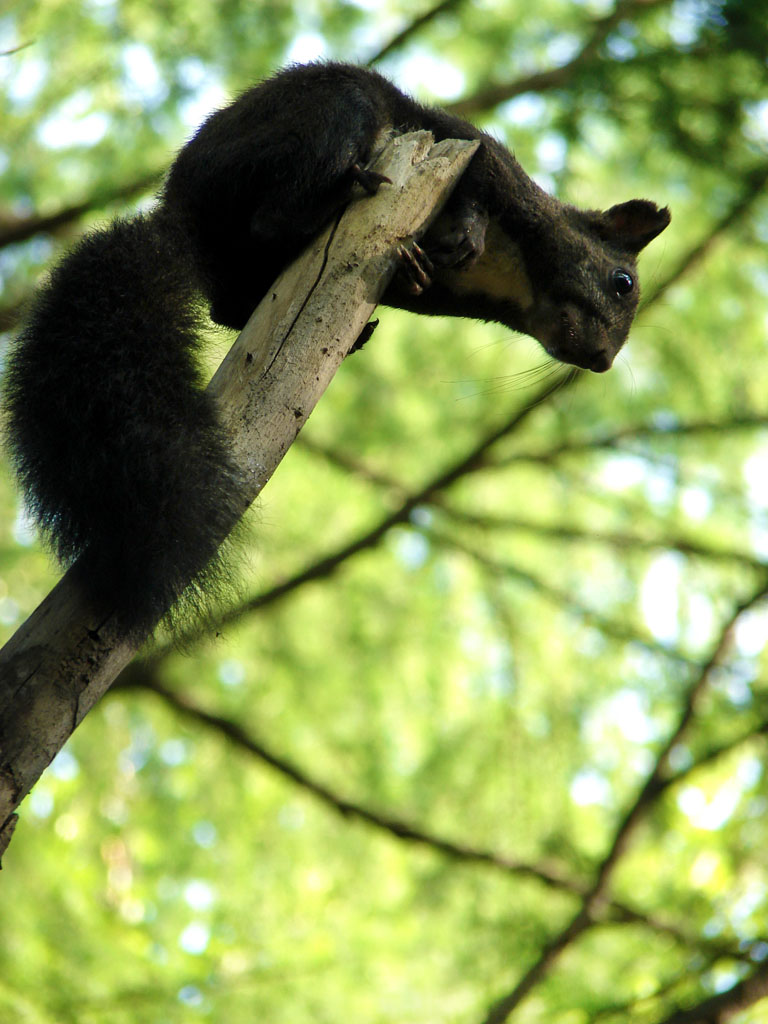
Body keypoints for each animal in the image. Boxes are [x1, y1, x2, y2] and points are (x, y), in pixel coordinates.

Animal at [3, 59, 671, 634]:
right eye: (623, 282)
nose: (602, 360)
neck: (516, 279)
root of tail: (183, 217)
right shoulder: (475, 152)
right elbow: (474, 185)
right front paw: (469, 231)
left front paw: (421, 270)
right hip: (327, 116)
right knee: (275, 214)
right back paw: (334, 199)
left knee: (230, 302)